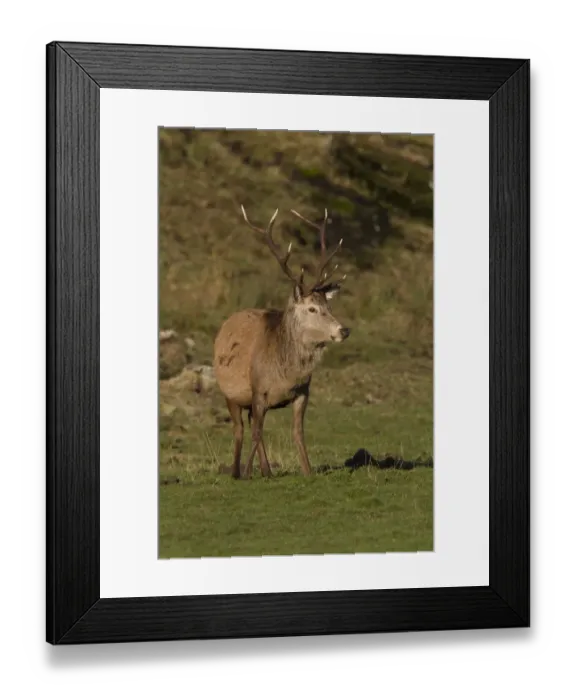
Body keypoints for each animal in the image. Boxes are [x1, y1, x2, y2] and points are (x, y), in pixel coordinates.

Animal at [213, 205, 351, 480]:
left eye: (329, 307)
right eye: (311, 308)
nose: (344, 330)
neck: (286, 375)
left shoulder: (302, 393)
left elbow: (298, 433)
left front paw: (308, 471)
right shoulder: (258, 390)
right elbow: (256, 432)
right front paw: (248, 473)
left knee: (252, 426)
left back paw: (265, 471)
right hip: (230, 394)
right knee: (240, 429)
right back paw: (236, 472)